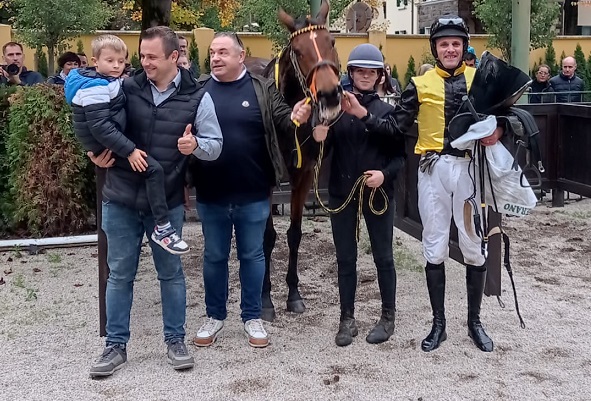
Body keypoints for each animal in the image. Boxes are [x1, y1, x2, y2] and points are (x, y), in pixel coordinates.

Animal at [260, 0, 342, 318]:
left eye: (332, 41)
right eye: (297, 50)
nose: (330, 94)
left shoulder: (305, 175)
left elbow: (294, 233)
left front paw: (293, 294)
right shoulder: (267, 181)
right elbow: (265, 237)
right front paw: (265, 298)